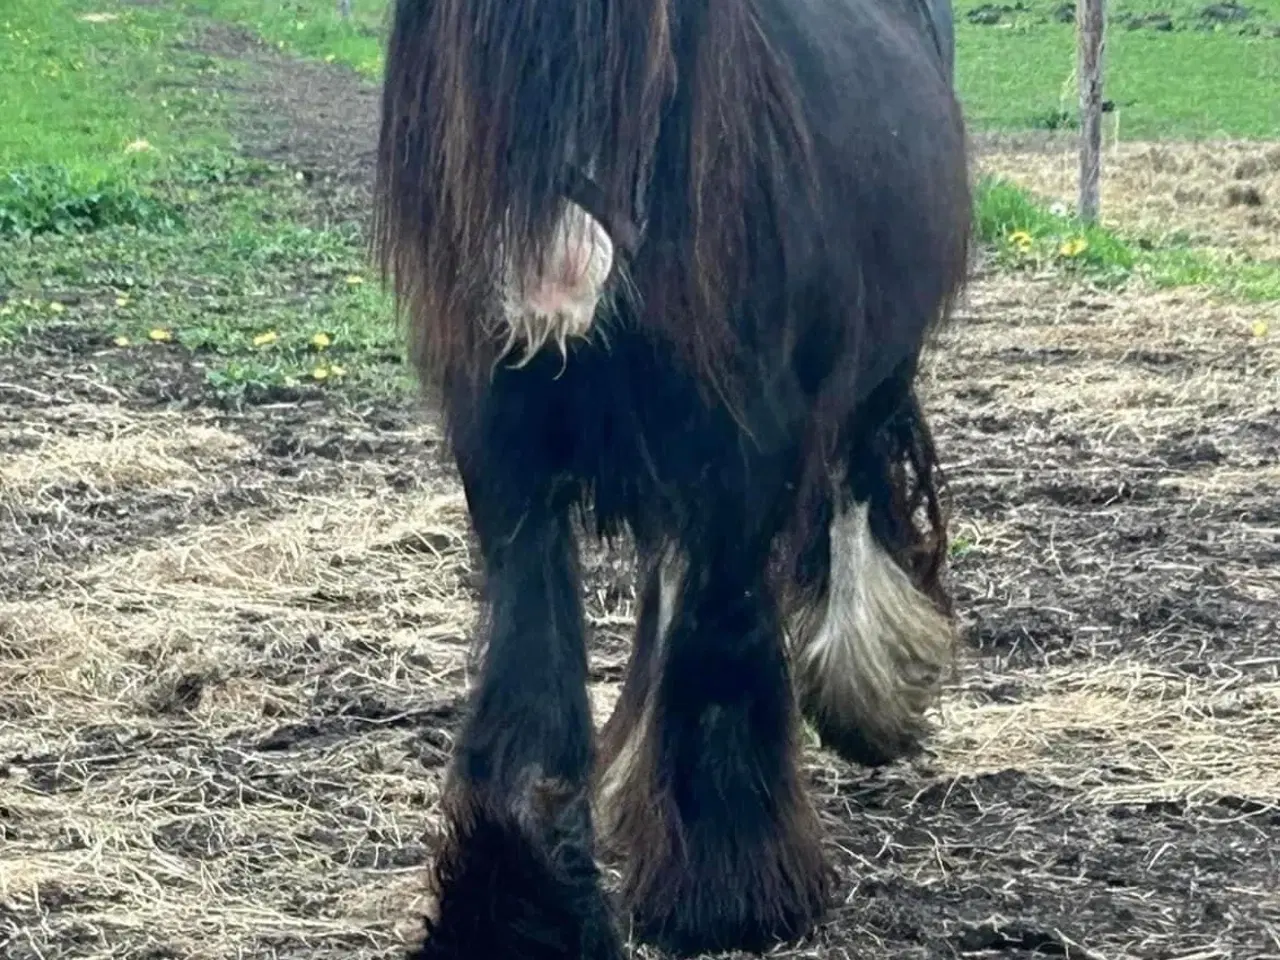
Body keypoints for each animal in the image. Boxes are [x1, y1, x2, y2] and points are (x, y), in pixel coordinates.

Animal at [373, 0, 967, 957]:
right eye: (466, 45)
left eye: (647, 46)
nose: (555, 280)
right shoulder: (508, 463)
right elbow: (532, 678)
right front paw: (515, 912)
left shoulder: (747, 458)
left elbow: (719, 643)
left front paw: (728, 892)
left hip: (875, 371)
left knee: (855, 489)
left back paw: (869, 692)